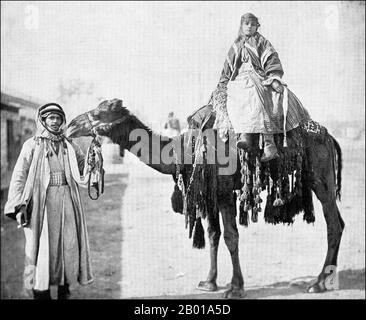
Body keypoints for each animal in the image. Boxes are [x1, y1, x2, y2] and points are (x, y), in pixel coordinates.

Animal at [65, 99, 344, 298]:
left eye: (100, 113)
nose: (70, 125)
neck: (180, 150)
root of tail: (330, 136)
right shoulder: (207, 193)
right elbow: (213, 234)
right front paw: (208, 282)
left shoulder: (223, 192)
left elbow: (231, 236)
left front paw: (235, 288)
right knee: (337, 222)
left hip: (320, 177)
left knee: (333, 223)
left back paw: (319, 283)